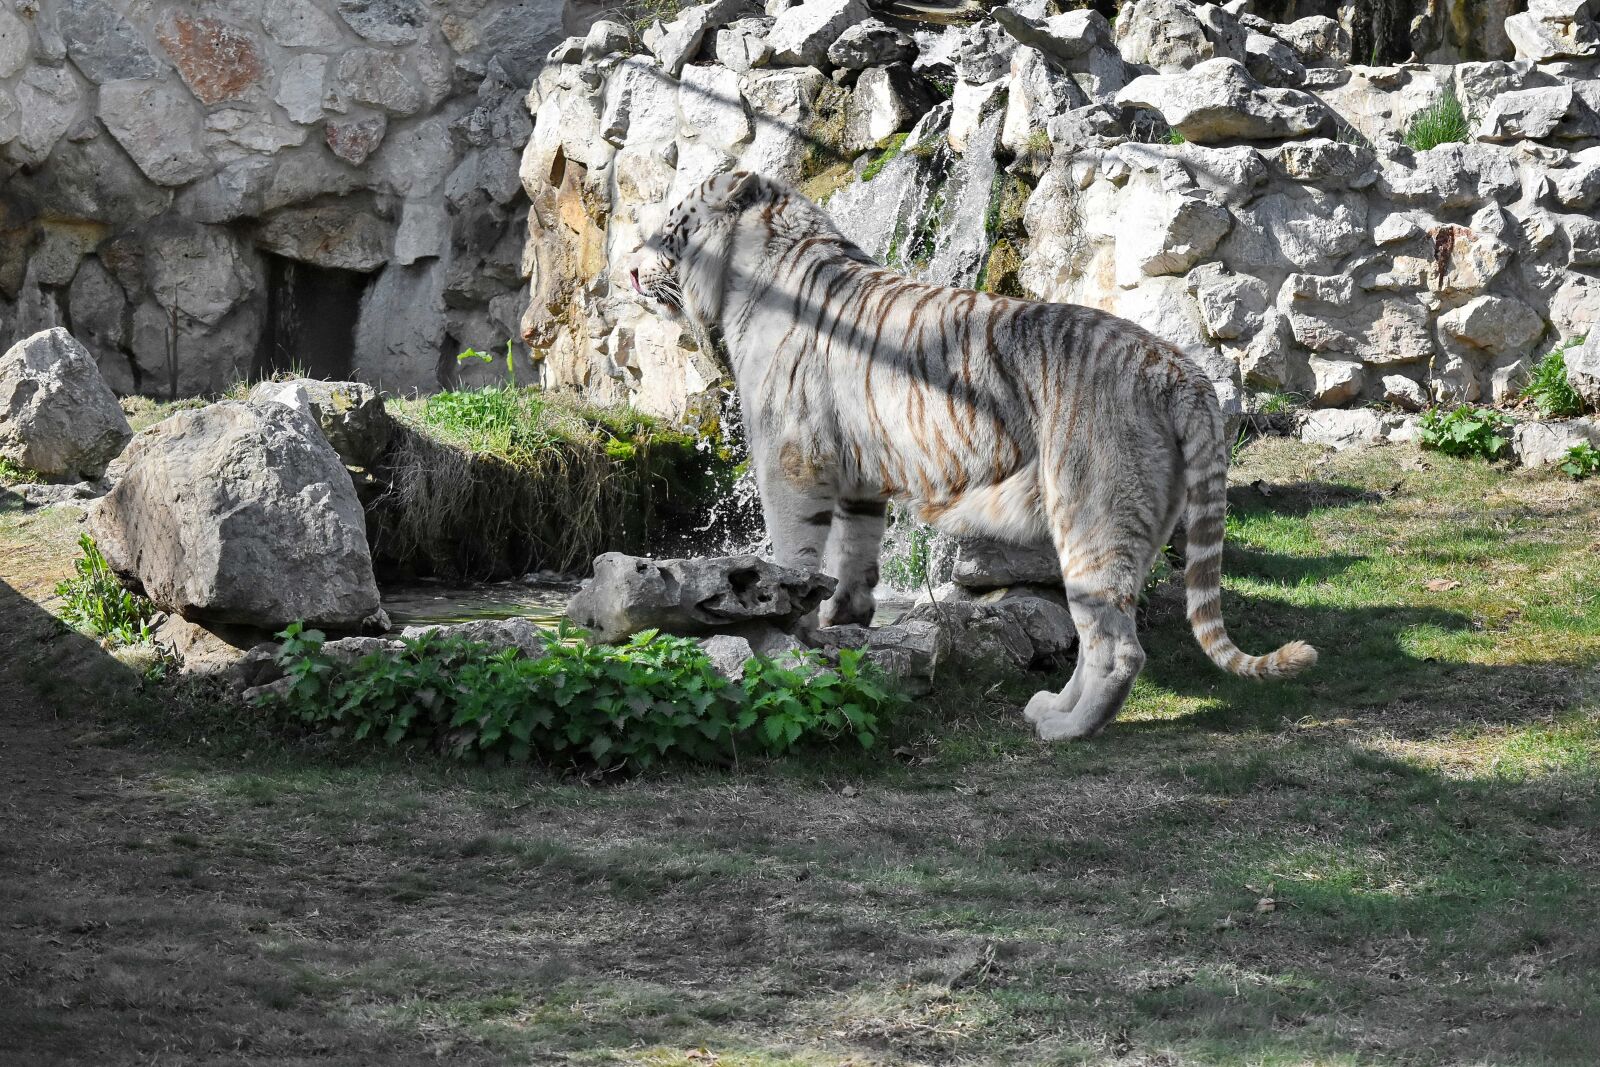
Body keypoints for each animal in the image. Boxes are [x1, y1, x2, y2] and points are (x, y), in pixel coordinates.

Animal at [628, 171, 1316, 740]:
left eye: (668, 230)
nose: (630, 275)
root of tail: (1180, 370)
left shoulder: (790, 461)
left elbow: (793, 551)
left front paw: (788, 626)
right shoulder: (858, 475)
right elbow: (854, 558)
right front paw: (841, 619)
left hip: (1091, 514)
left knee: (1118, 648)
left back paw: (1066, 731)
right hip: (1139, 523)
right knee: (1101, 631)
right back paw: (1051, 708)